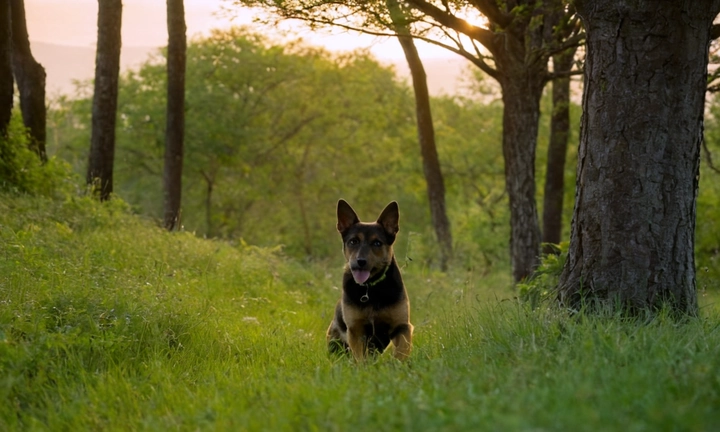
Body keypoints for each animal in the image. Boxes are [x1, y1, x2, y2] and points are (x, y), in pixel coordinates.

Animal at [324, 200, 410, 362]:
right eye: (353, 241)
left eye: (377, 243)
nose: (361, 261)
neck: (370, 288)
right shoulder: (356, 330)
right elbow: (360, 358)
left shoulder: (402, 326)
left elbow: (402, 350)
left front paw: (399, 364)